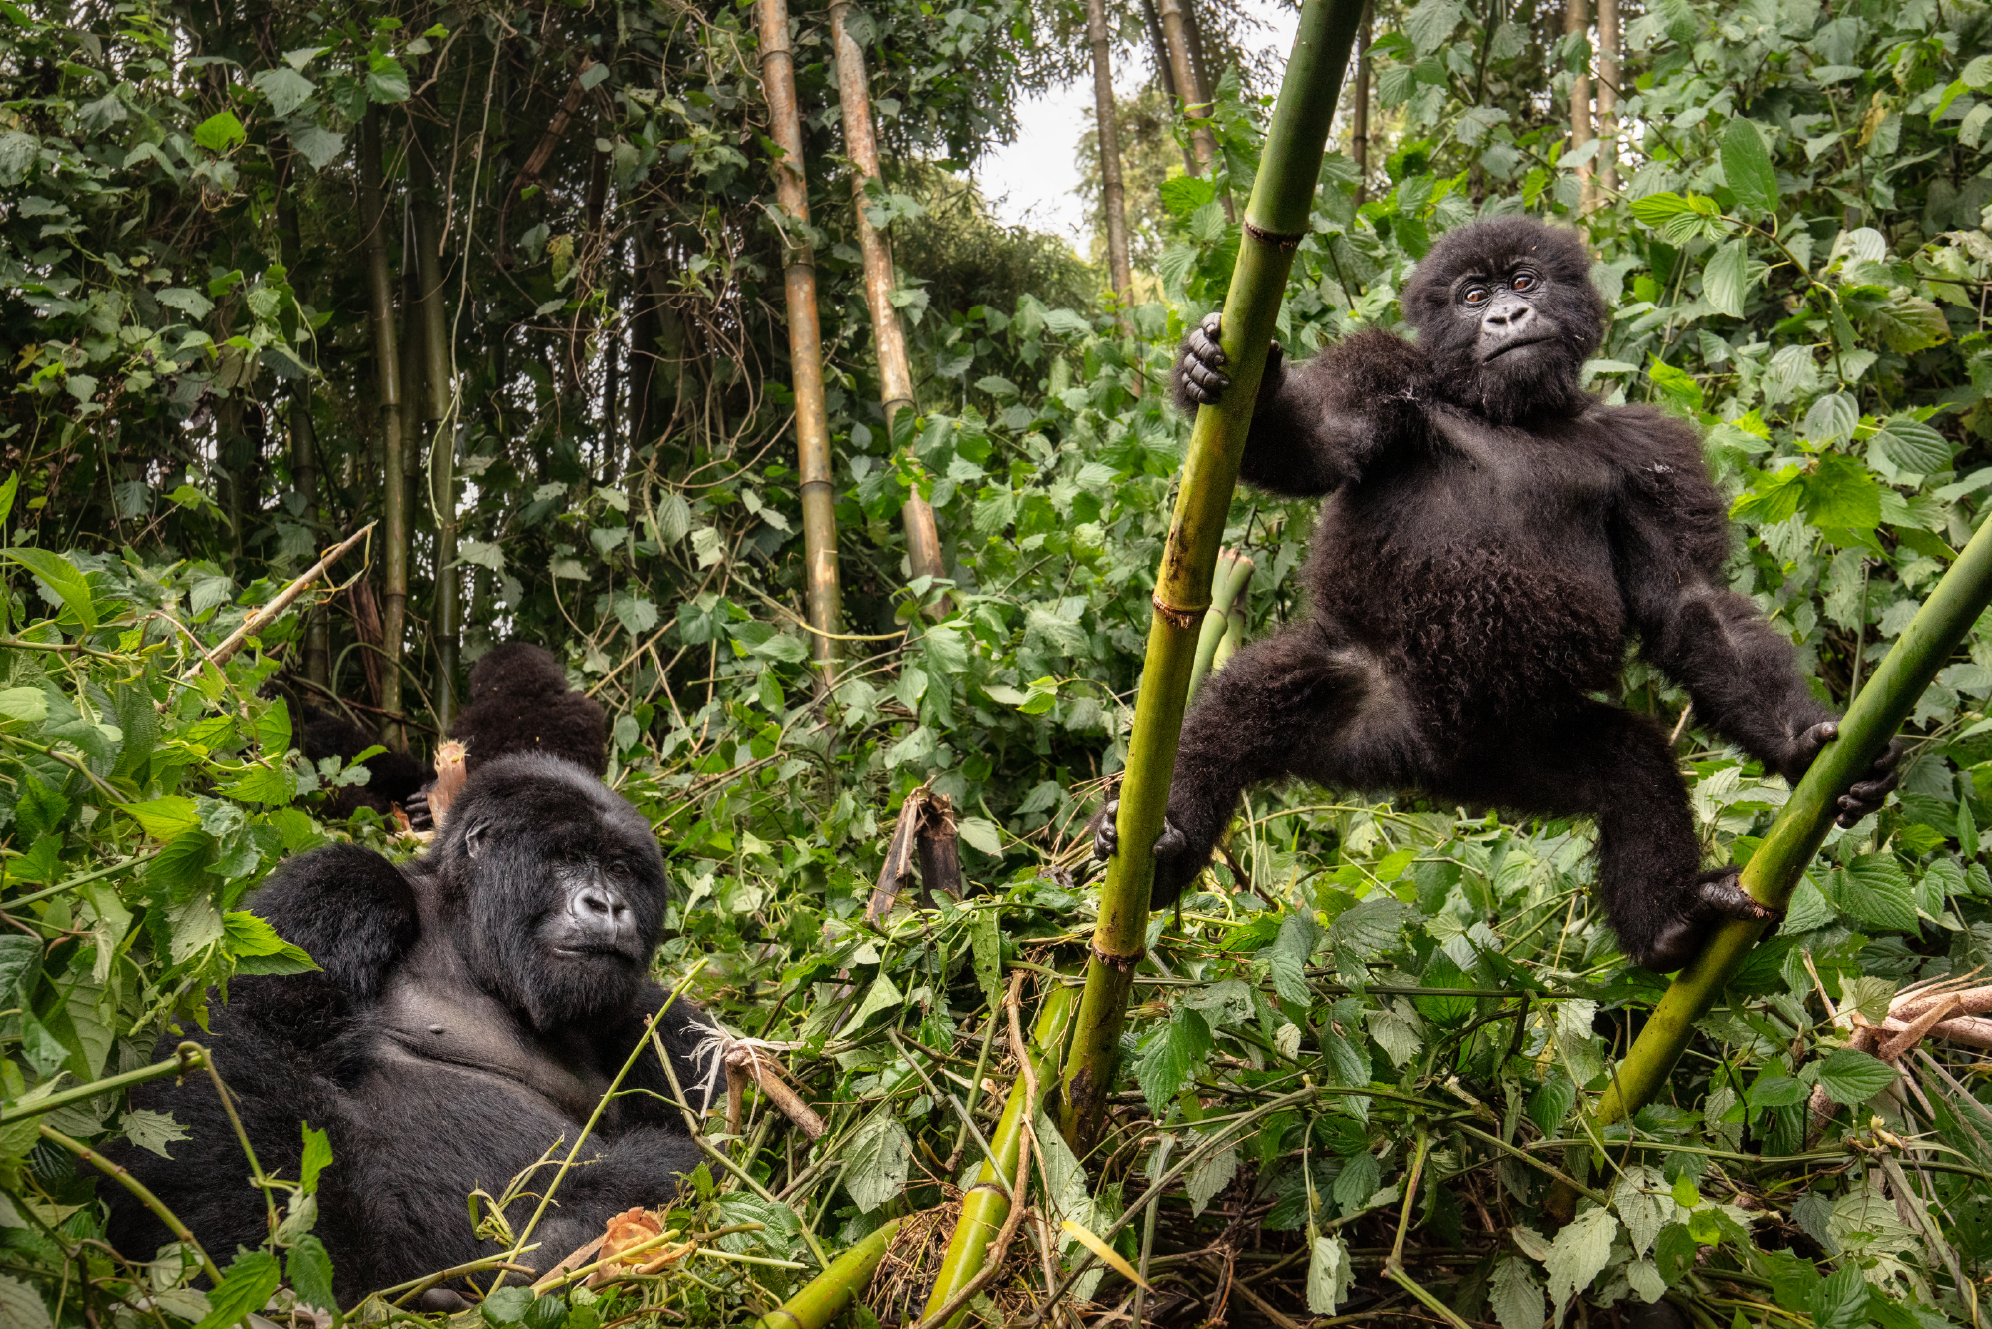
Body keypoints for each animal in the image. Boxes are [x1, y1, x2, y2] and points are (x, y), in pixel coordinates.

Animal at [109, 753, 717, 1307]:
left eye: (622, 870)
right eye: (569, 858)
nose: (608, 905)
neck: (472, 945)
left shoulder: (653, 1014)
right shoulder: (342, 885)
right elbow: (244, 1039)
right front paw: (322, 1279)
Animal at [1107, 216, 1896, 968]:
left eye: (1524, 280)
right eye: (1472, 296)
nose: (1509, 316)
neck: (1516, 412)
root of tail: (1417, 763)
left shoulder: (1648, 449)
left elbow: (1688, 603)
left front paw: (1802, 743)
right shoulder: (1383, 373)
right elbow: (1314, 441)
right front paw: (1222, 373)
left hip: (1518, 751)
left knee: (1632, 768)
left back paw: (1668, 926)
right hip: (1377, 696)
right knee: (1245, 707)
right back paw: (1167, 843)